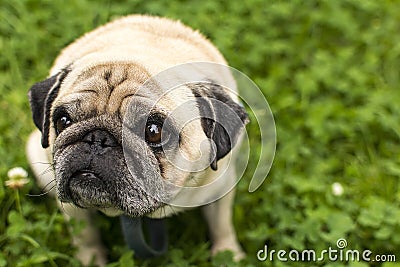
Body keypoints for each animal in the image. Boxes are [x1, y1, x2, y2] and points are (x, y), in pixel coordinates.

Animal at [25, 14, 247, 266]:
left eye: (153, 131)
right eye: (63, 121)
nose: (98, 139)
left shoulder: (221, 187)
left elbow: (221, 225)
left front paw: (228, 254)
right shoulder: (73, 210)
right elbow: (85, 235)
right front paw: (90, 259)